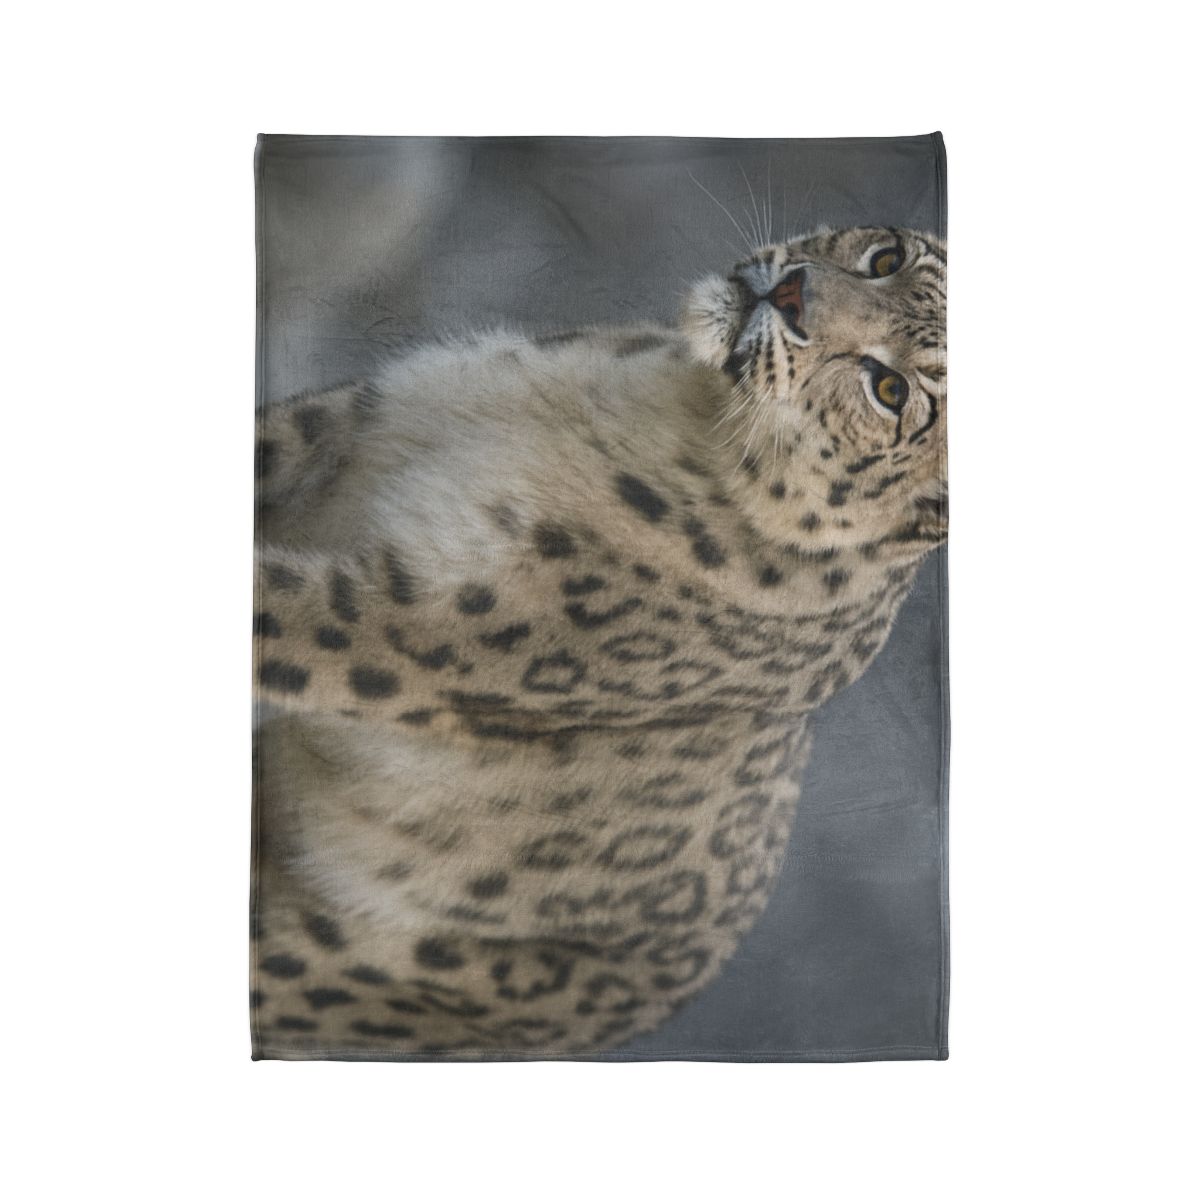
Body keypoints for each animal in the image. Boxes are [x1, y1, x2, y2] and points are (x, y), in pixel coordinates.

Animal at [251, 225, 947, 1059]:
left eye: (892, 390)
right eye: (886, 258)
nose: (791, 294)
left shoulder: (398, 625)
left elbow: (271, 616)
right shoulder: (353, 419)